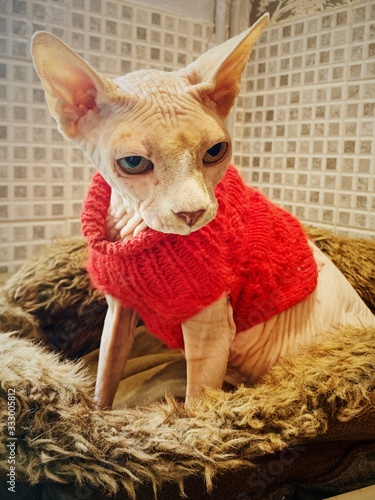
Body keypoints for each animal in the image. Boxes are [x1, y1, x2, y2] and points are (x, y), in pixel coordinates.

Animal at [30, 15, 375, 408]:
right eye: (133, 163)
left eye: (215, 152)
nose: (192, 213)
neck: (135, 232)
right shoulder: (117, 313)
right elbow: (105, 377)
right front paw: (96, 415)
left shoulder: (210, 330)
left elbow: (198, 407)